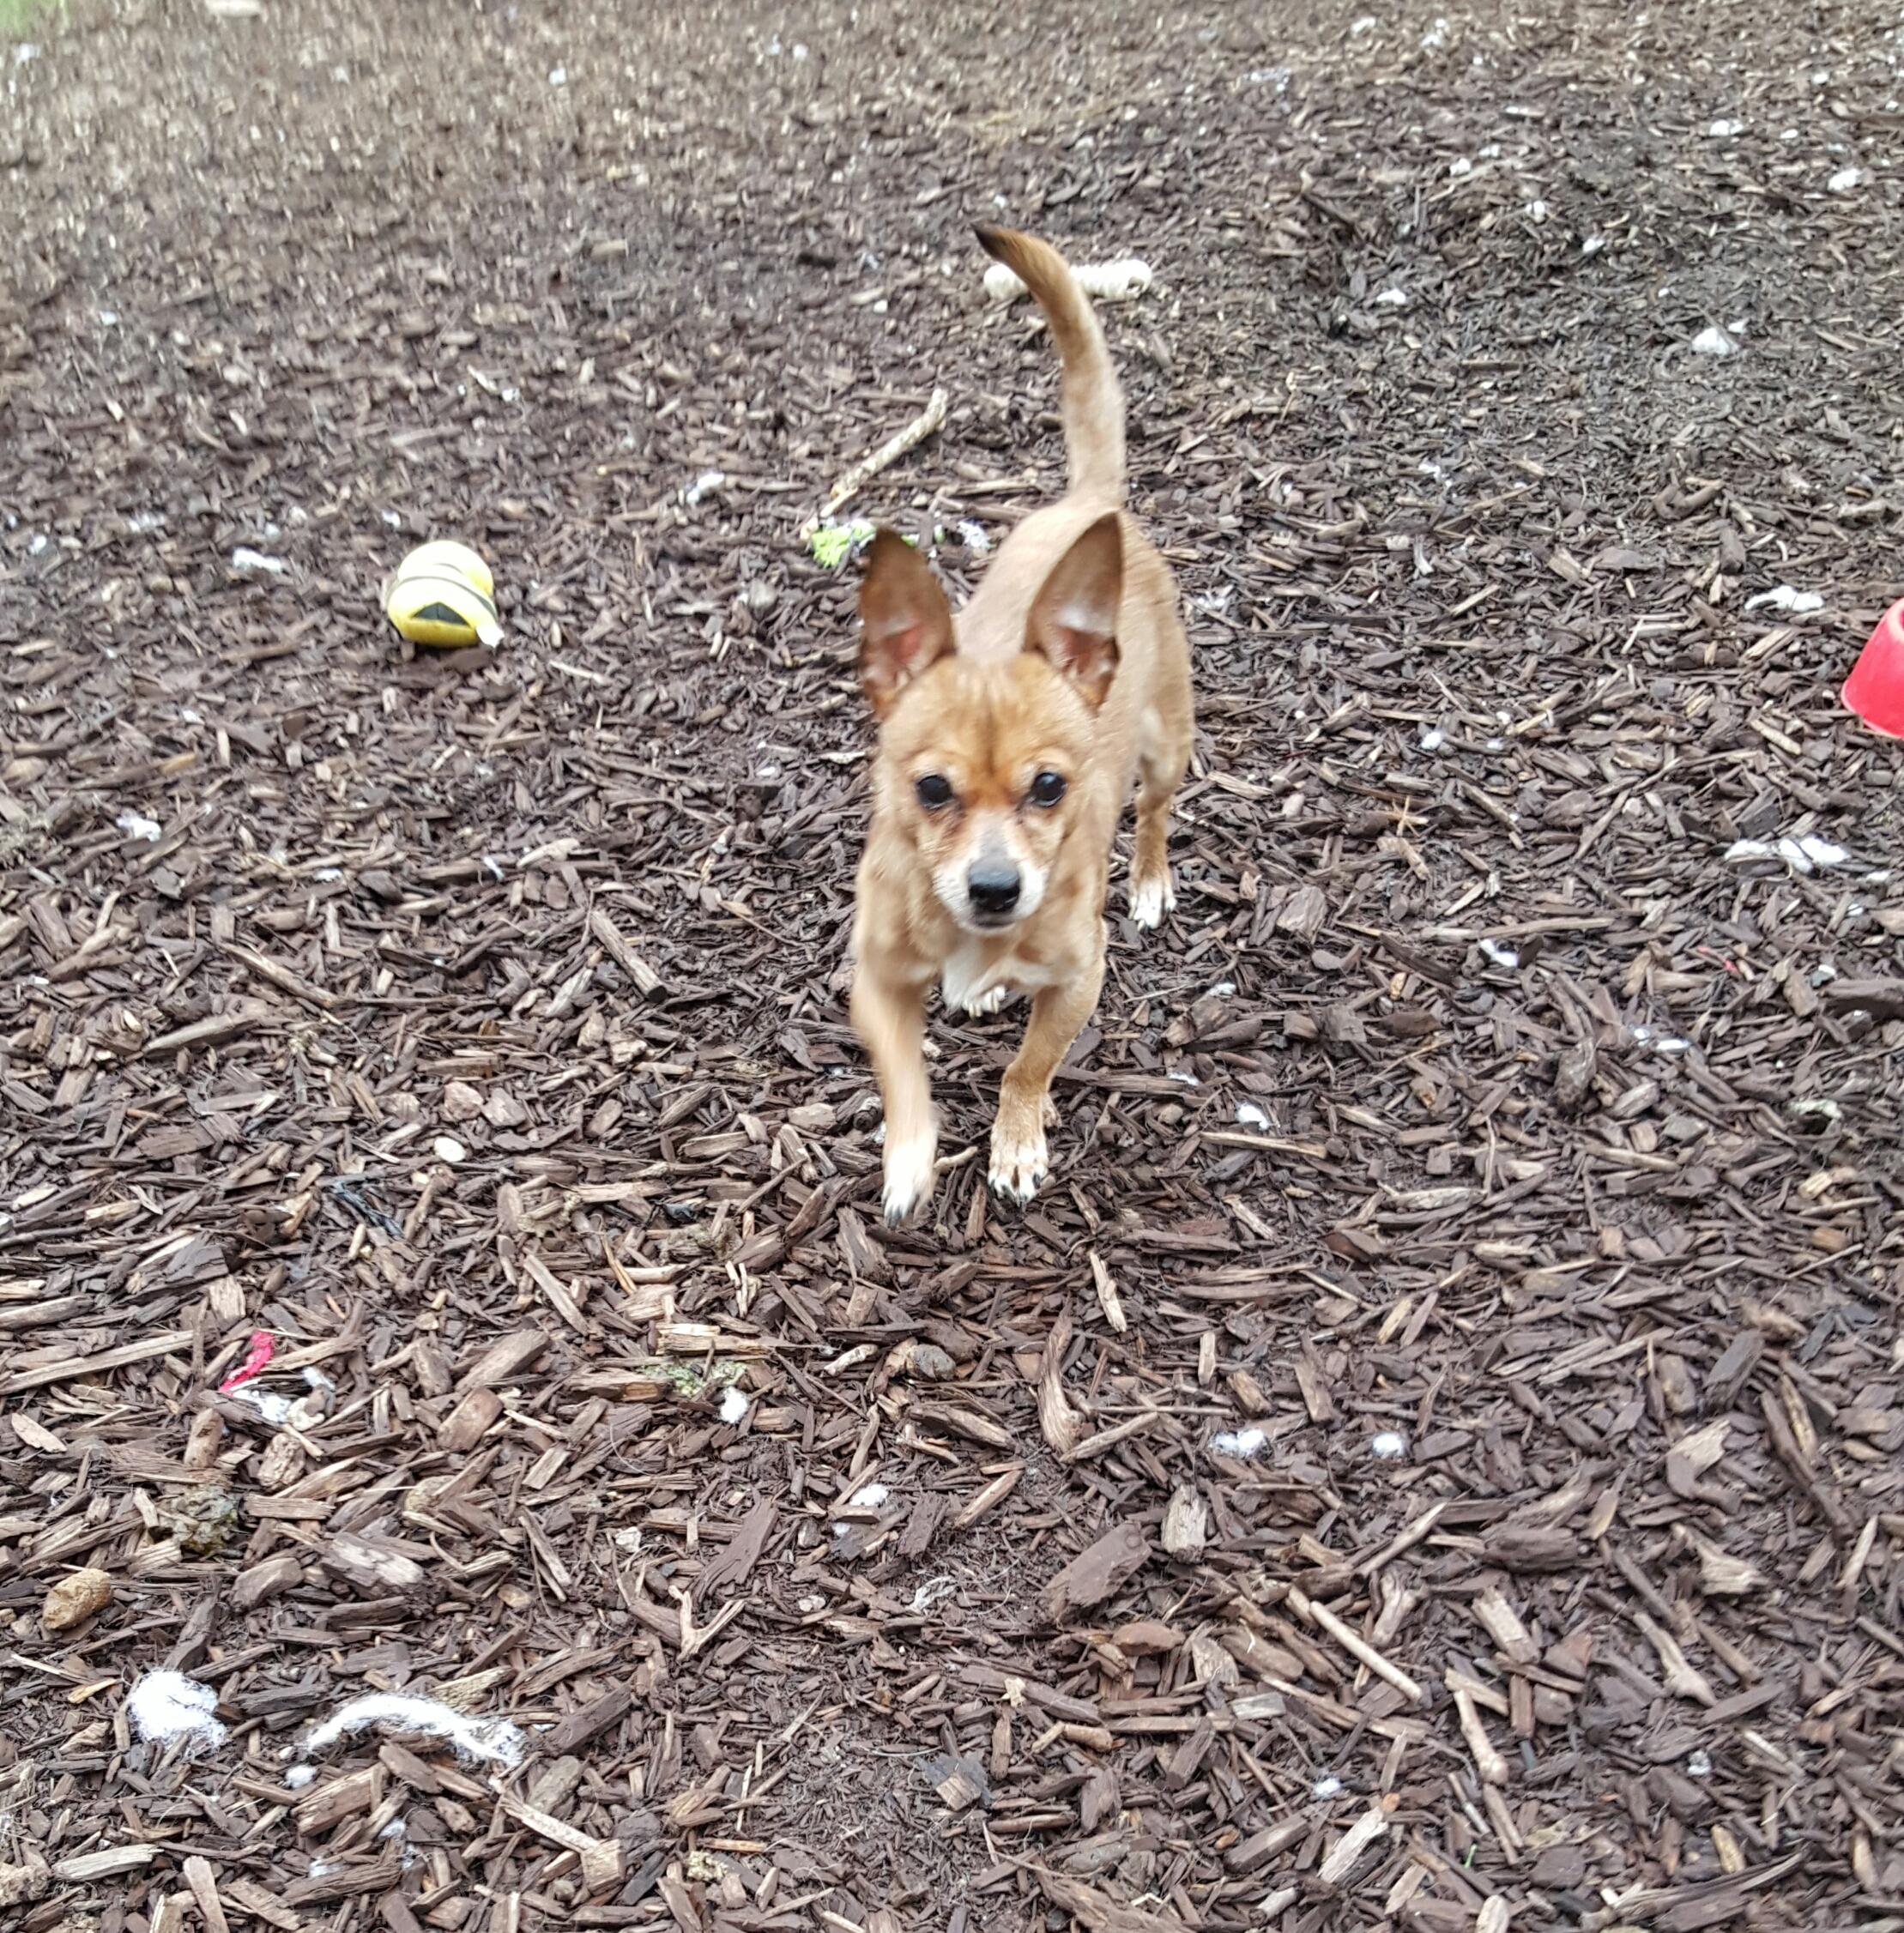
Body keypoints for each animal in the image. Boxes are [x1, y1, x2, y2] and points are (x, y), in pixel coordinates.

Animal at [846, 230, 1190, 1221]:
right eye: (930, 789)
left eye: (1048, 787)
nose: (996, 888)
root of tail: (1091, 505)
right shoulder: (875, 981)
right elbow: (902, 1074)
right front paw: (910, 1155)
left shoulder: (1078, 977)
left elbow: (1028, 1069)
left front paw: (1016, 1144)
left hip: (1166, 745)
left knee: (1156, 814)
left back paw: (1147, 881)